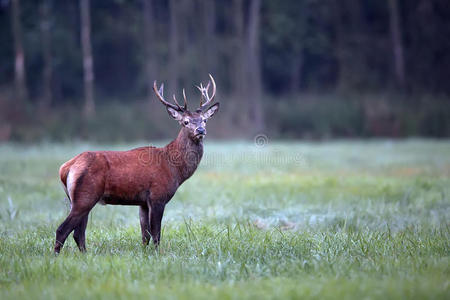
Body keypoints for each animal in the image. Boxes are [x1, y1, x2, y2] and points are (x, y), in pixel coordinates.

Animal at [54, 75, 220, 253]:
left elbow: (145, 235)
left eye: (204, 120)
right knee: (63, 230)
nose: (201, 130)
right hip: (86, 195)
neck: (174, 168)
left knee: (78, 233)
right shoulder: (157, 195)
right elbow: (156, 233)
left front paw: (145, 253)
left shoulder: (143, 202)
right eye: (186, 122)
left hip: (77, 198)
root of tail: (65, 168)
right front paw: (158, 254)